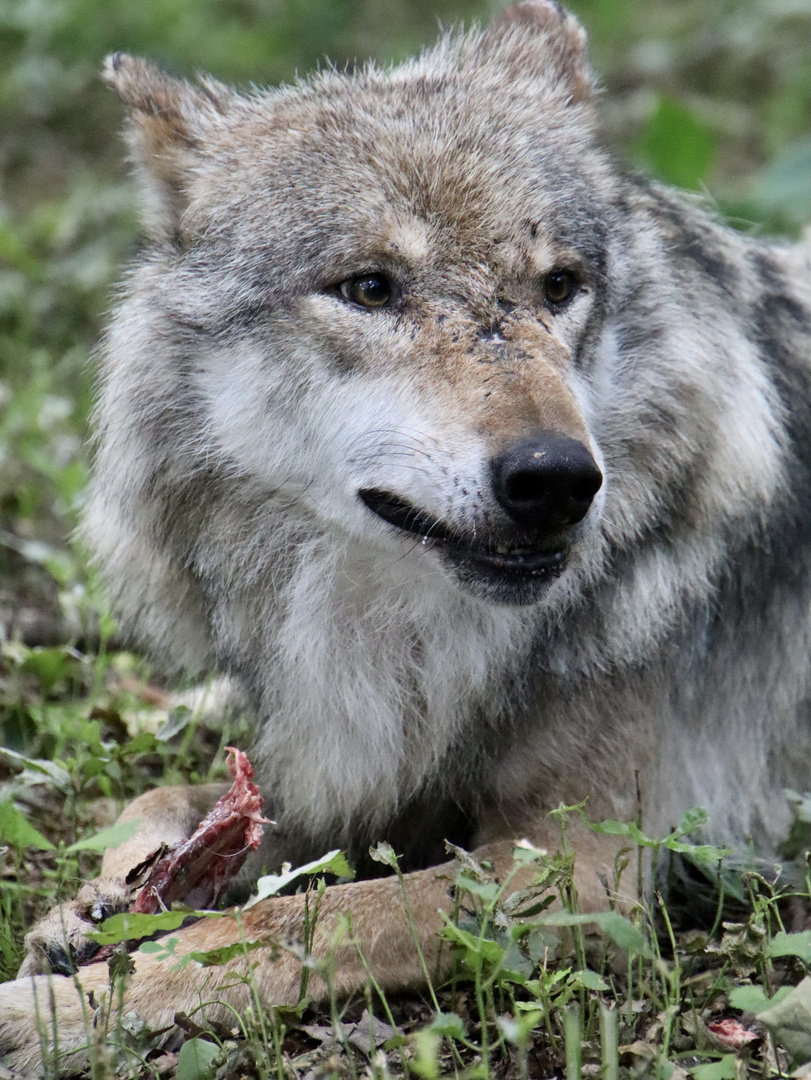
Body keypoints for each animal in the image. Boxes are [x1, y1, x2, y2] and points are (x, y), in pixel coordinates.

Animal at [1, 0, 811, 1071]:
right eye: (371, 288)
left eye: (559, 286)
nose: (557, 480)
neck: (407, 631)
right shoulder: (355, 768)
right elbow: (166, 803)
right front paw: (93, 904)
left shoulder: (585, 868)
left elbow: (302, 922)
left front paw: (70, 1010)